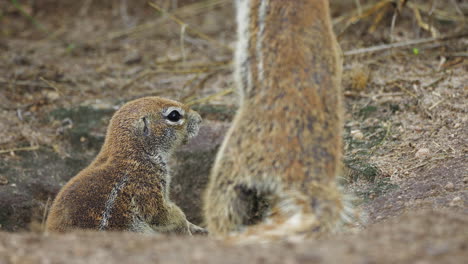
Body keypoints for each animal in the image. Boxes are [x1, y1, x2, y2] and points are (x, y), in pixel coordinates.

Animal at [46, 97, 206, 235]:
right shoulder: (146, 184)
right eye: (174, 115)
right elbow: (159, 213)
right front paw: (185, 224)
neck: (134, 153)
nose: (199, 119)